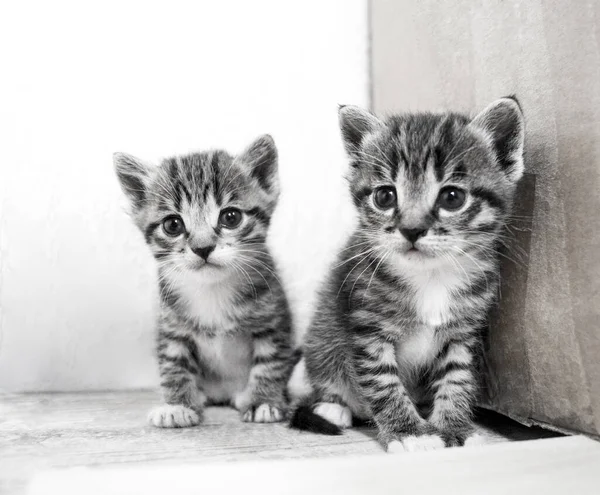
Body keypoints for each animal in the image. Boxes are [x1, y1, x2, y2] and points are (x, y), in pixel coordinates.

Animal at [113, 135, 296, 426]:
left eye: (231, 217)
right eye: (172, 225)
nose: (203, 248)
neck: (212, 290)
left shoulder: (273, 318)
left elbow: (271, 361)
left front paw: (263, 400)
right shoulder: (172, 327)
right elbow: (173, 364)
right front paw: (177, 405)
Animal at [290, 97, 524, 454]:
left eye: (452, 197)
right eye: (385, 196)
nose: (411, 230)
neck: (431, 277)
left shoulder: (464, 332)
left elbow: (457, 377)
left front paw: (454, 427)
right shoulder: (368, 327)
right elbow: (383, 382)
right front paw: (409, 432)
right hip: (322, 336)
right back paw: (333, 407)